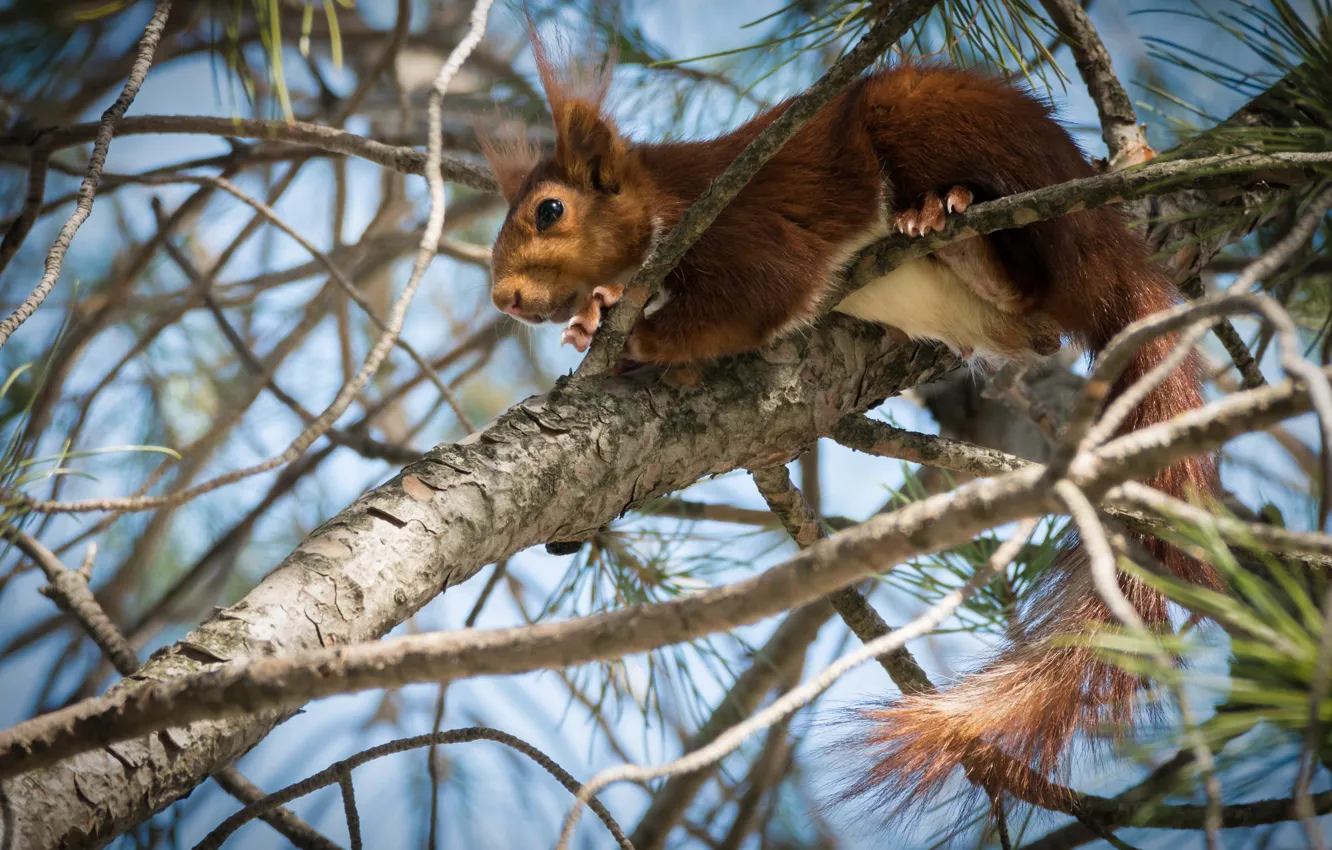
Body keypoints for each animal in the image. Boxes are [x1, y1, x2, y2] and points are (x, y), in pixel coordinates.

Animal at [479, 33, 1220, 815]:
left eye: (549, 211)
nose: (504, 299)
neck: (667, 200)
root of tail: (1113, 253)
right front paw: (597, 325)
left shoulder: (740, 230)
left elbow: (755, 296)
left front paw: (613, 319)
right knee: (1034, 324)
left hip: (946, 137)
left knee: (1027, 276)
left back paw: (946, 216)